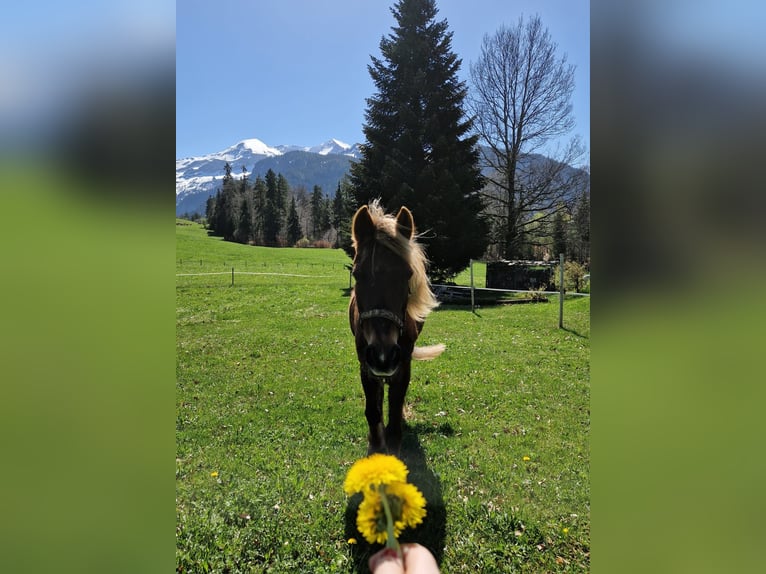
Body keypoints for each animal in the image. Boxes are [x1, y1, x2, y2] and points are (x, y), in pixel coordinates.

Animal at [348, 200, 444, 456]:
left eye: (407, 274)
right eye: (357, 274)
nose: (383, 355)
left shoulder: (402, 365)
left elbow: (394, 412)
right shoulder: (366, 365)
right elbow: (373, 411)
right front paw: (375, 444)